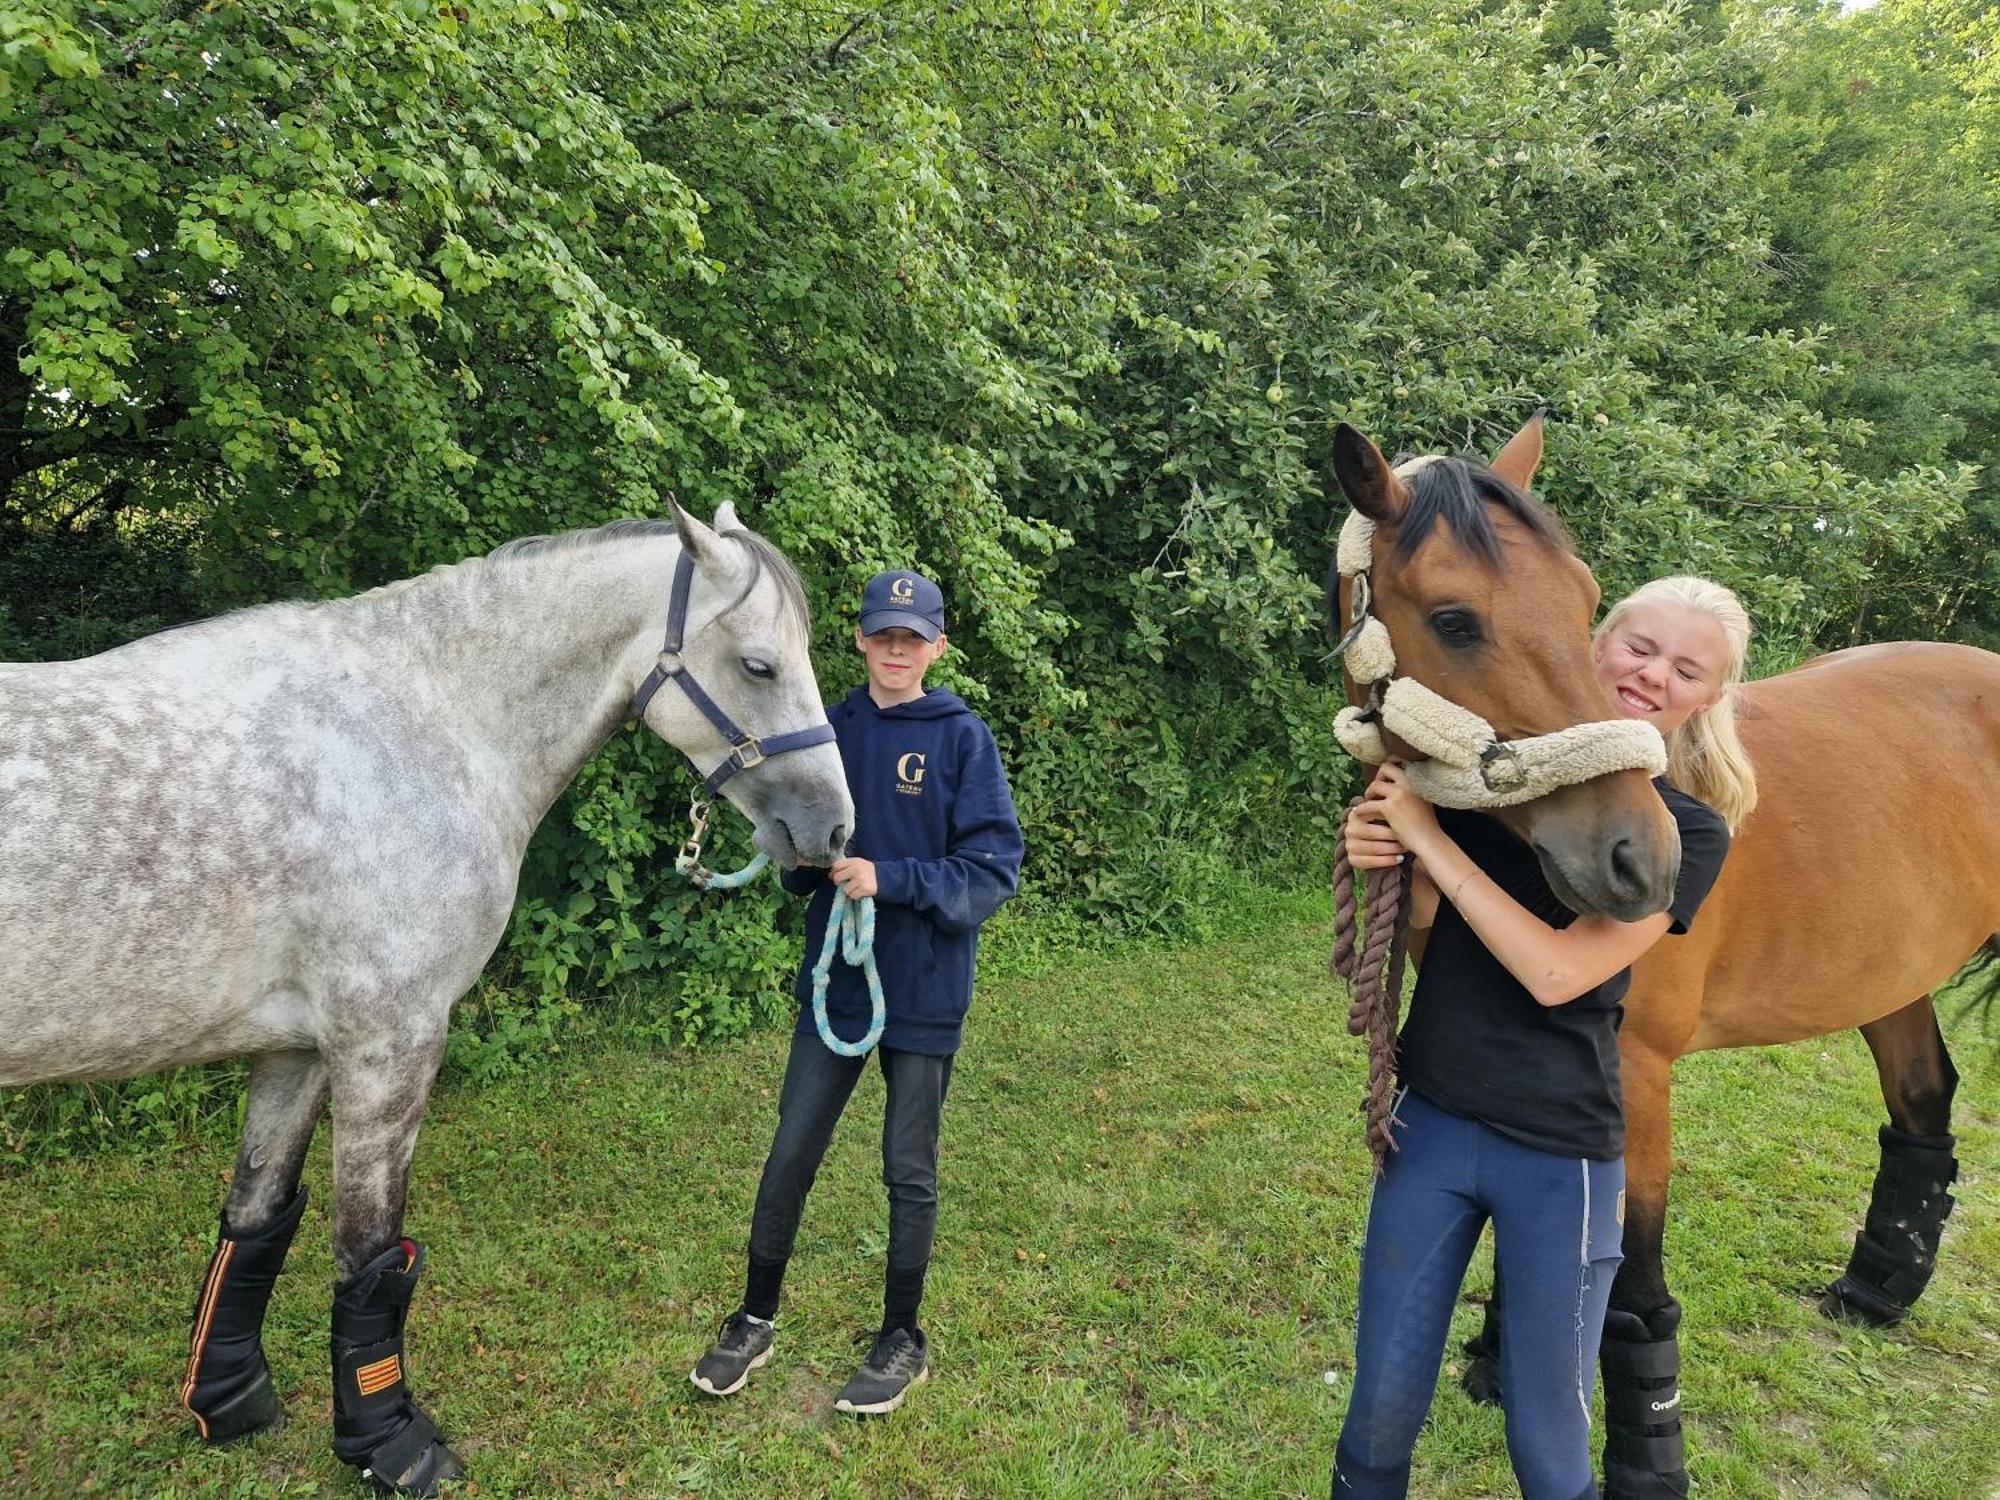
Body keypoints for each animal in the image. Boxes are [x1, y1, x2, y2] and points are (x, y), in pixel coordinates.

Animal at [0, 506, 852, 1496]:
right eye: (758, 665)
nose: (835, 829)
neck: (424, 730)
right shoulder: (389, 1042)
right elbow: (370, 1257)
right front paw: (391, 1443)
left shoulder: (295, 1049)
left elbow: (255, 1222)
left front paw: (230, 1403)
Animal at [1328, 420, 2000, 1500]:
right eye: (1453, 619)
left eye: (1583, 596)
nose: (1640, 861)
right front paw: (1496, 1364)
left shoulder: (1635, 1079)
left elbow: (1631, 1286)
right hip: (1891, 972)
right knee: (1922, 1098)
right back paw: (1873, 1292)